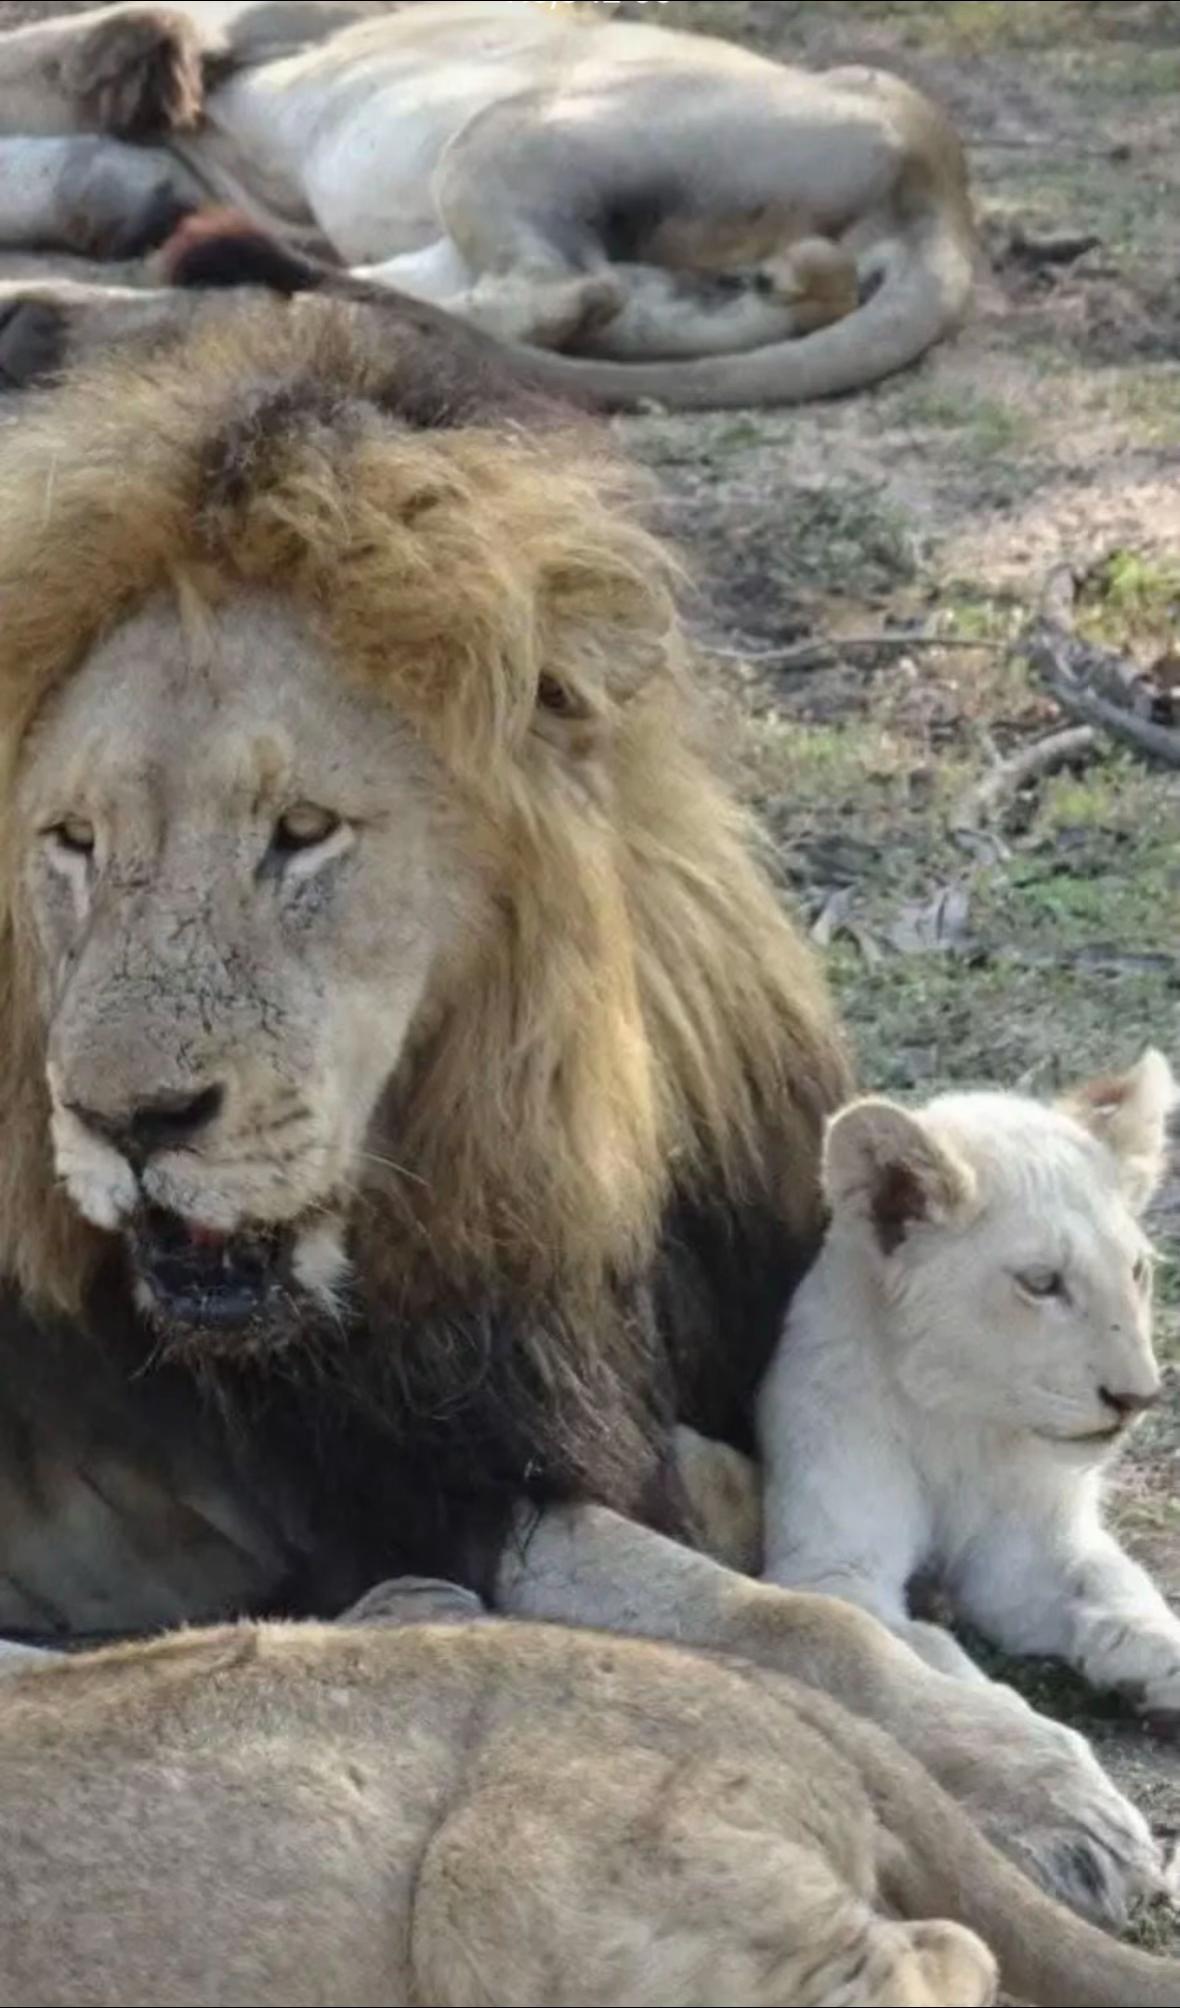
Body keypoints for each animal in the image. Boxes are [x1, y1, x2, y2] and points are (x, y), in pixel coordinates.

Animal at [0, 298, 1164, 1933]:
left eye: (302, 834)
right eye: (72, 842)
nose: (128, 1120)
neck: (517, 1152)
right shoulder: (424, 1490)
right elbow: (794, 1624)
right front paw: (1031, 1783)